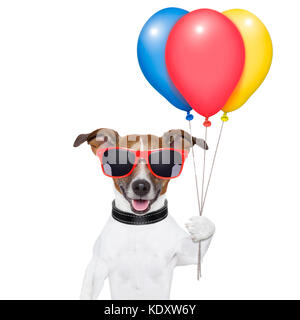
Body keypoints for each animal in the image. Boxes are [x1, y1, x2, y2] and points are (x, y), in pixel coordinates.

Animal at [74, 128, 216, 300]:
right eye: (121, 162)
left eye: (162, 163)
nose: (141, 186)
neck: (139, 223)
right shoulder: (97, 266)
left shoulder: (190, 254)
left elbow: (209, 229)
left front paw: (200, 227)